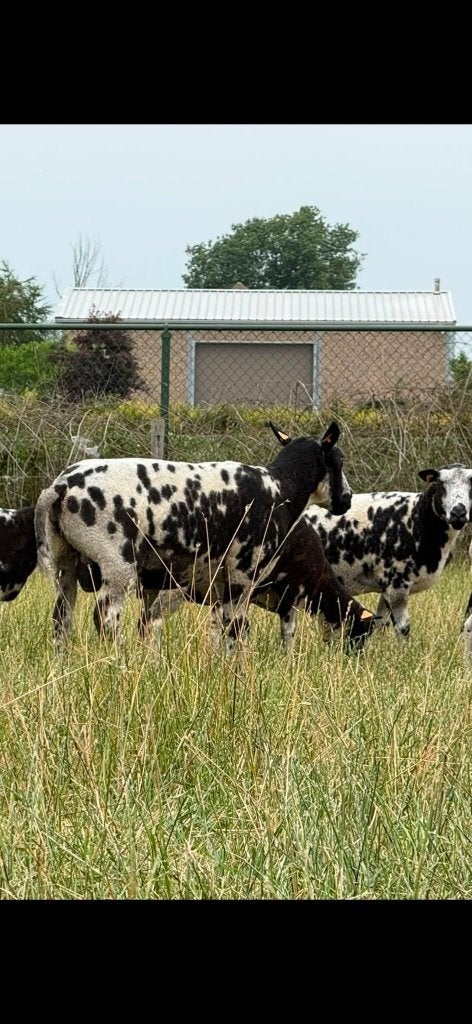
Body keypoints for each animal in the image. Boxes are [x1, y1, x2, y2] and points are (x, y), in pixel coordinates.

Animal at [34, 421, 353, 645]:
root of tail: (62, 486)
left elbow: (220, 632)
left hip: (66, 564)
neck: (281, 489)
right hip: (117, 564)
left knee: (61, 621)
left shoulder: (219, 587)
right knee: (107, 619)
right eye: (339, 461)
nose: (347, 499)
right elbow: (236, 632)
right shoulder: (241, 577)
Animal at [303, 464, 472, 640]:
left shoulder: (386, 588)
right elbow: (403, 629)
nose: (458, 512)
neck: (418, 519)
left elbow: (380, 624)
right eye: (440, 484)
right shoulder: (396, 585)